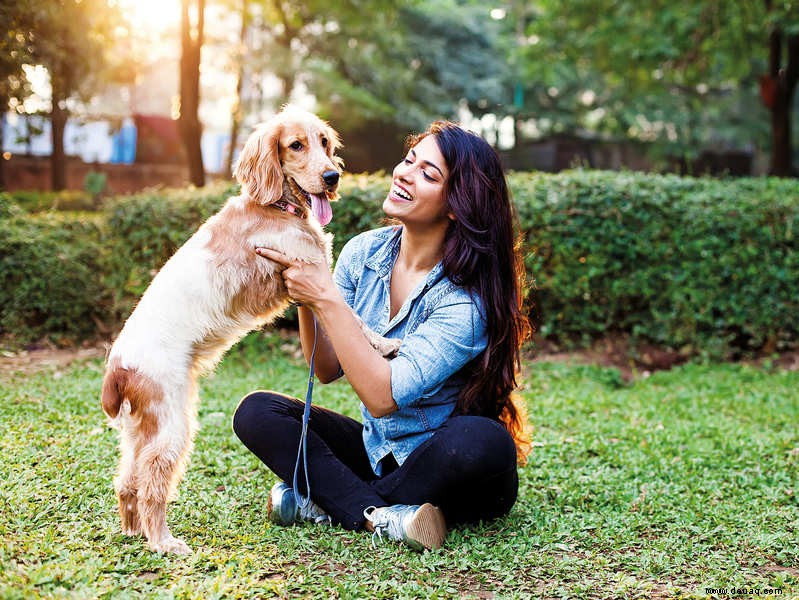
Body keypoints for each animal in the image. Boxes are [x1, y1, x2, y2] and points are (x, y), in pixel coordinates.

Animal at [101, 106, 400, 552]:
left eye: (324, 143)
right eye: (296, 145)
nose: (332, 177)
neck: (275, 207)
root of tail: (117, 365)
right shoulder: (309, 273)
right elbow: (356, 320)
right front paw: (383, 344)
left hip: (143, 429)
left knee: (127, 479)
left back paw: (134, 531)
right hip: (171, 425)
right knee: (152, 481)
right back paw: (163, 542)